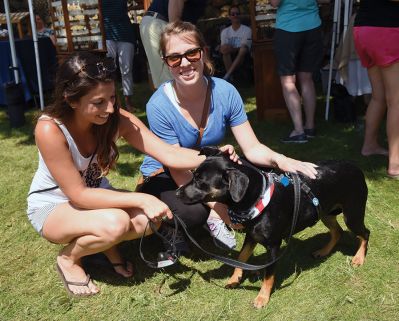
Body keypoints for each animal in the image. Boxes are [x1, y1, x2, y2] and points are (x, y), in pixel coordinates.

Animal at [177, 147, 370, 308]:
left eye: (200, 181)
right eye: (193, 175)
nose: (177, 193)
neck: (256, 198)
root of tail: (356, 167)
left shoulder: (273, 247)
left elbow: (268, 275)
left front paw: (262, 298)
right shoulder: (251, 236)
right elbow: (241, 257)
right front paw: (235, 279)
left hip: (352, 214)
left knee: (365, 233)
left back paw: (358, 258)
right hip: (325, 213)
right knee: (337, 231)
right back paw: (323, 251)